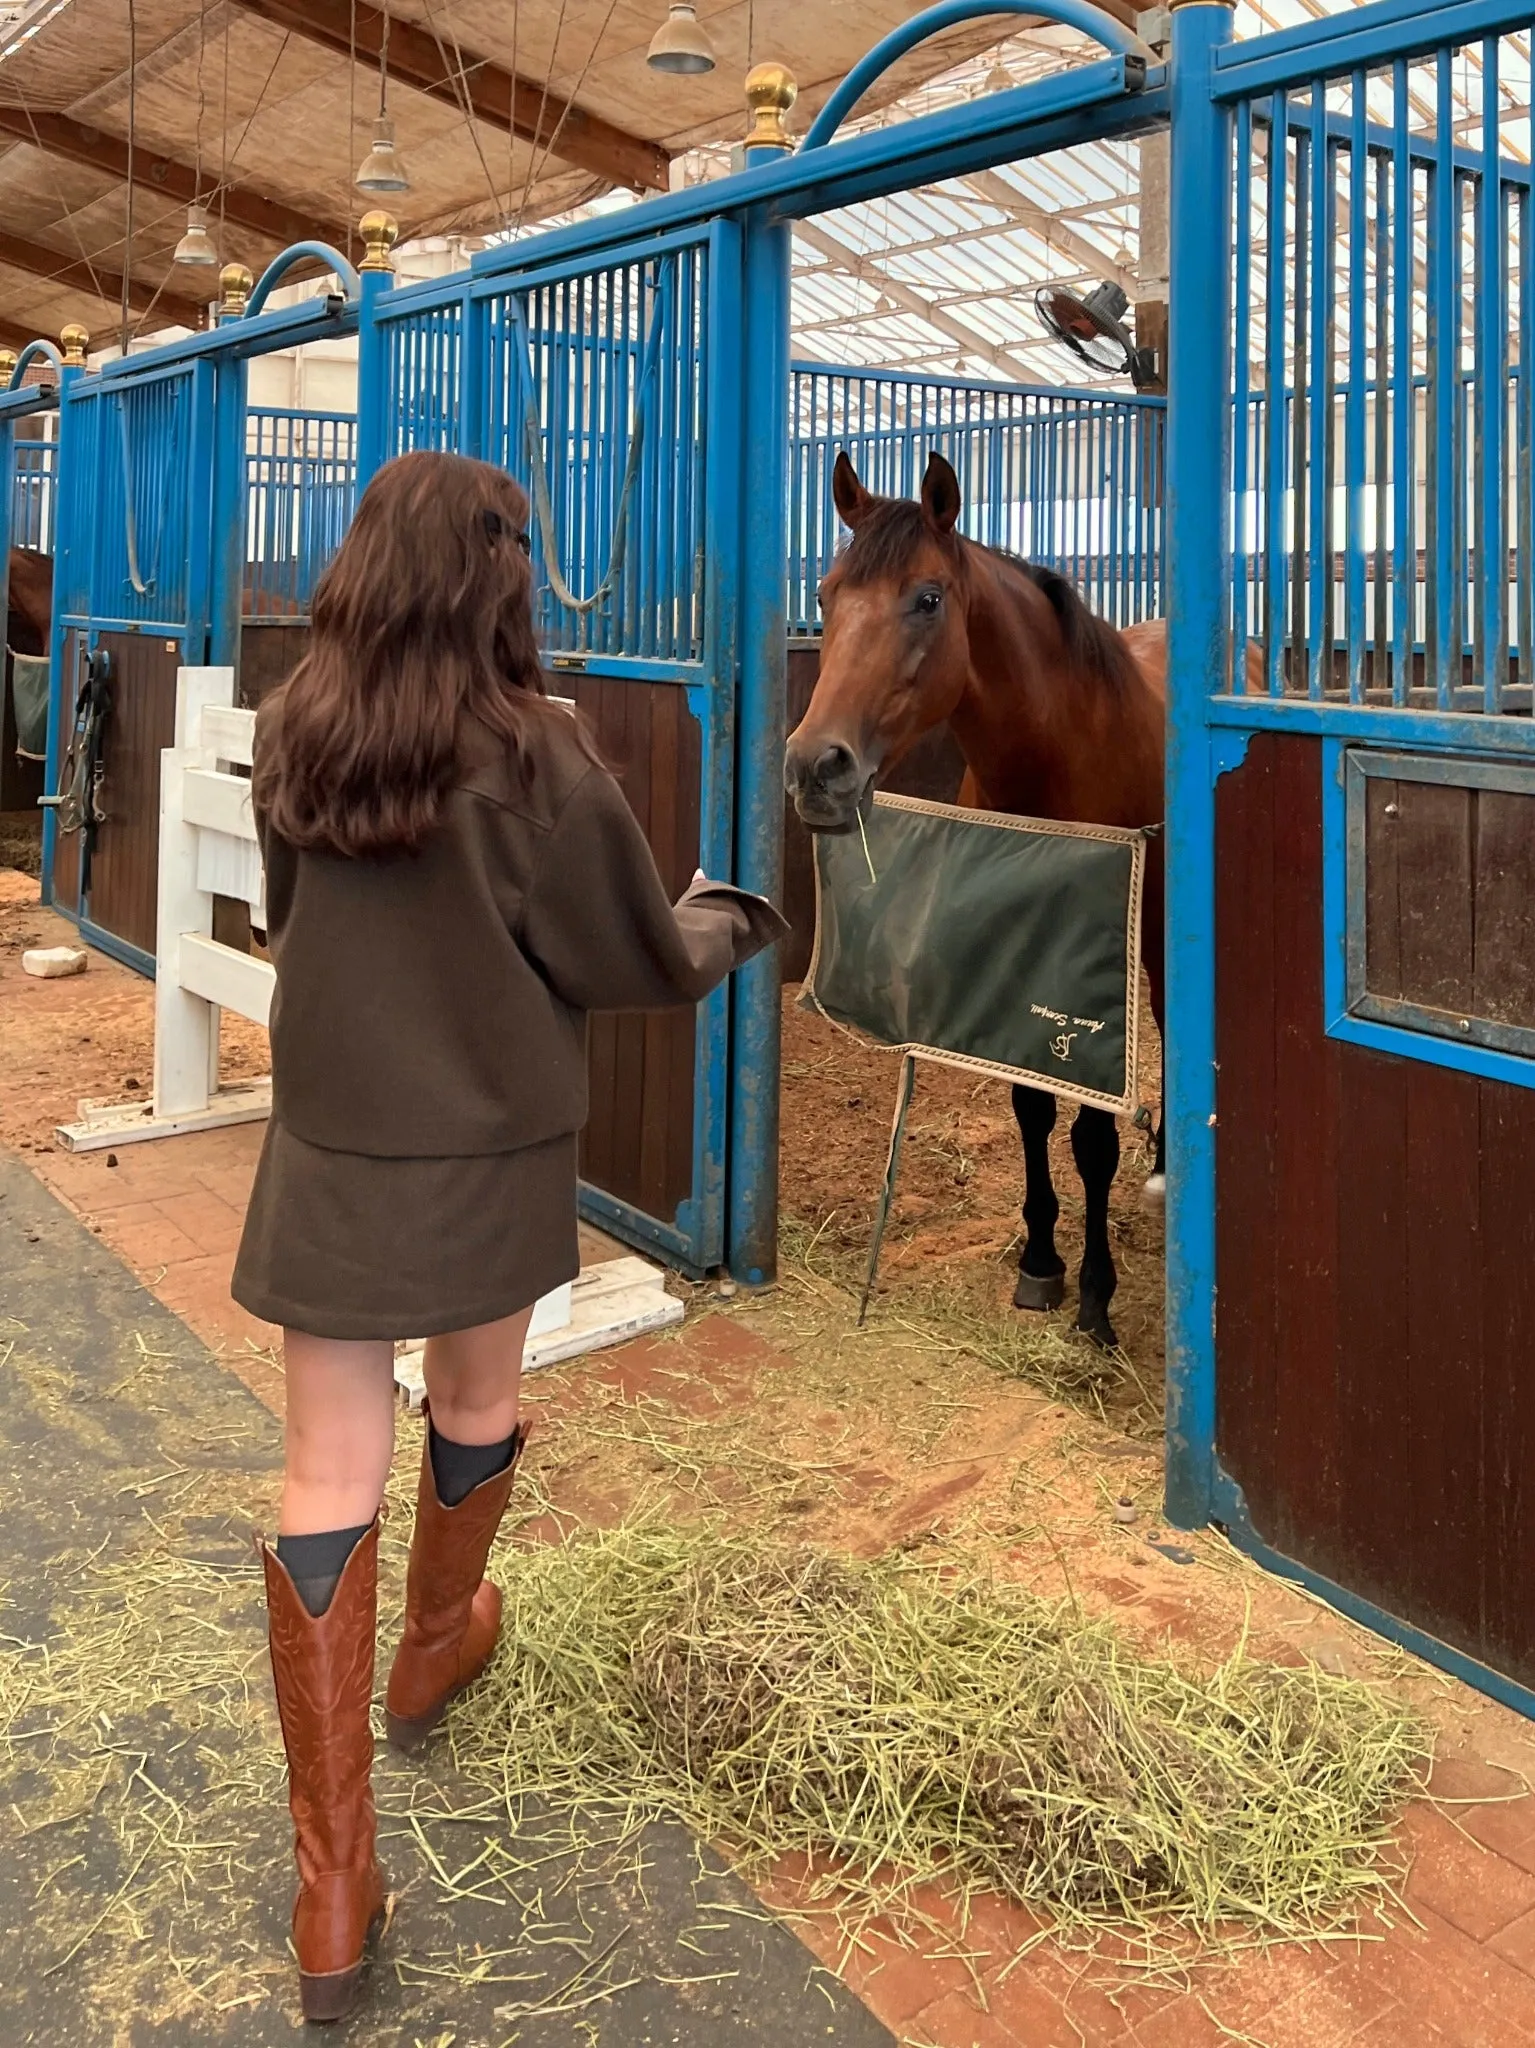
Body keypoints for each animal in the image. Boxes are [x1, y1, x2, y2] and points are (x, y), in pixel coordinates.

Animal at [785, 448, 1170, 1343]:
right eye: (824, 595)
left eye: (927, 599)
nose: (816, 767)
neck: (1064, 753)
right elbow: (1030, 1107)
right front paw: (1039, 1261)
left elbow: (1092, 1134)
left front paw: (1095, 1293)